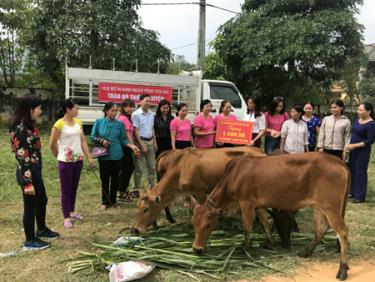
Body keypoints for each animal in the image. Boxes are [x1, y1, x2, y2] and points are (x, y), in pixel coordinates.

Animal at [133, 147, 274, 239]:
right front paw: (190, 225)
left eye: (145, 209)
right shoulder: (189, 193)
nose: (135, 229)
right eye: (137, 208)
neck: (180, 167)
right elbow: (191, 209)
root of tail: (261, 152)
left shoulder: (200, 192)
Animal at [194, 153, 352, 280]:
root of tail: (338, 160)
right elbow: (265, 224)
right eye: (193, 224)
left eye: (208, 225)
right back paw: (306, 252)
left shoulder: (246, 203)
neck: (234, 175)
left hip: (329, 206)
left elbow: (247, 228)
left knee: (342, 231)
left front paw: (246, 250)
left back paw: (342, 269)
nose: (196, 249)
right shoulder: (258, 206)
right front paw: (270, 243)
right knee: (321, 228)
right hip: (318, 206)